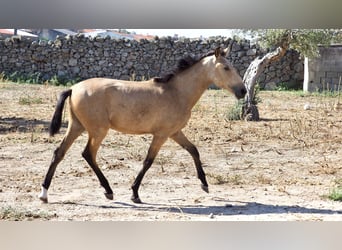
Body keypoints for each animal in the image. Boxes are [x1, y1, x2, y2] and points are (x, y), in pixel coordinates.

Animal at [38, 47, 247, 203]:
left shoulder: (175, 132)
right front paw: (135, 194)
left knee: (59, 153)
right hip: (97, 131)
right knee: (88, 154)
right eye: (226, 68)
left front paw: (204, 184)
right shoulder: (161, 135)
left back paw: (44, 194)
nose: (243, 91)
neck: (177, 92)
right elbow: (148, 161)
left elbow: (194, 150)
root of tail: (73, 88)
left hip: (76, 126)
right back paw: (108, 190)